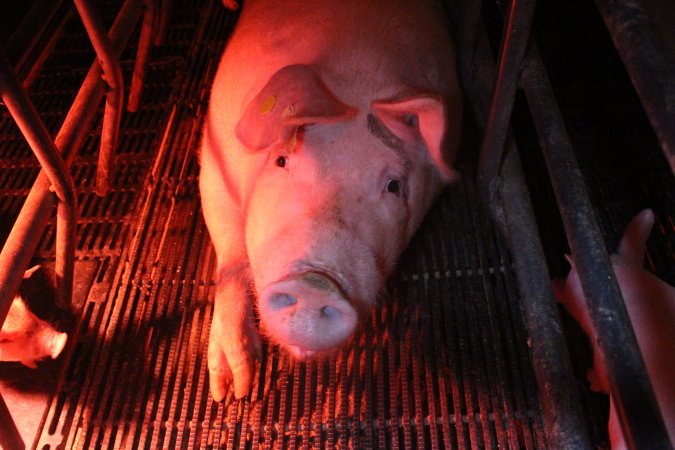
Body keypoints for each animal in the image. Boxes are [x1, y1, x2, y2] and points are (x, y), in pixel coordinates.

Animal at [201, 0, 462, 400]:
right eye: (281, 160)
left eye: (393, 186)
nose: (313, 283)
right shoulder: (214, 154)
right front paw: (233, 389)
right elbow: (230, 253)